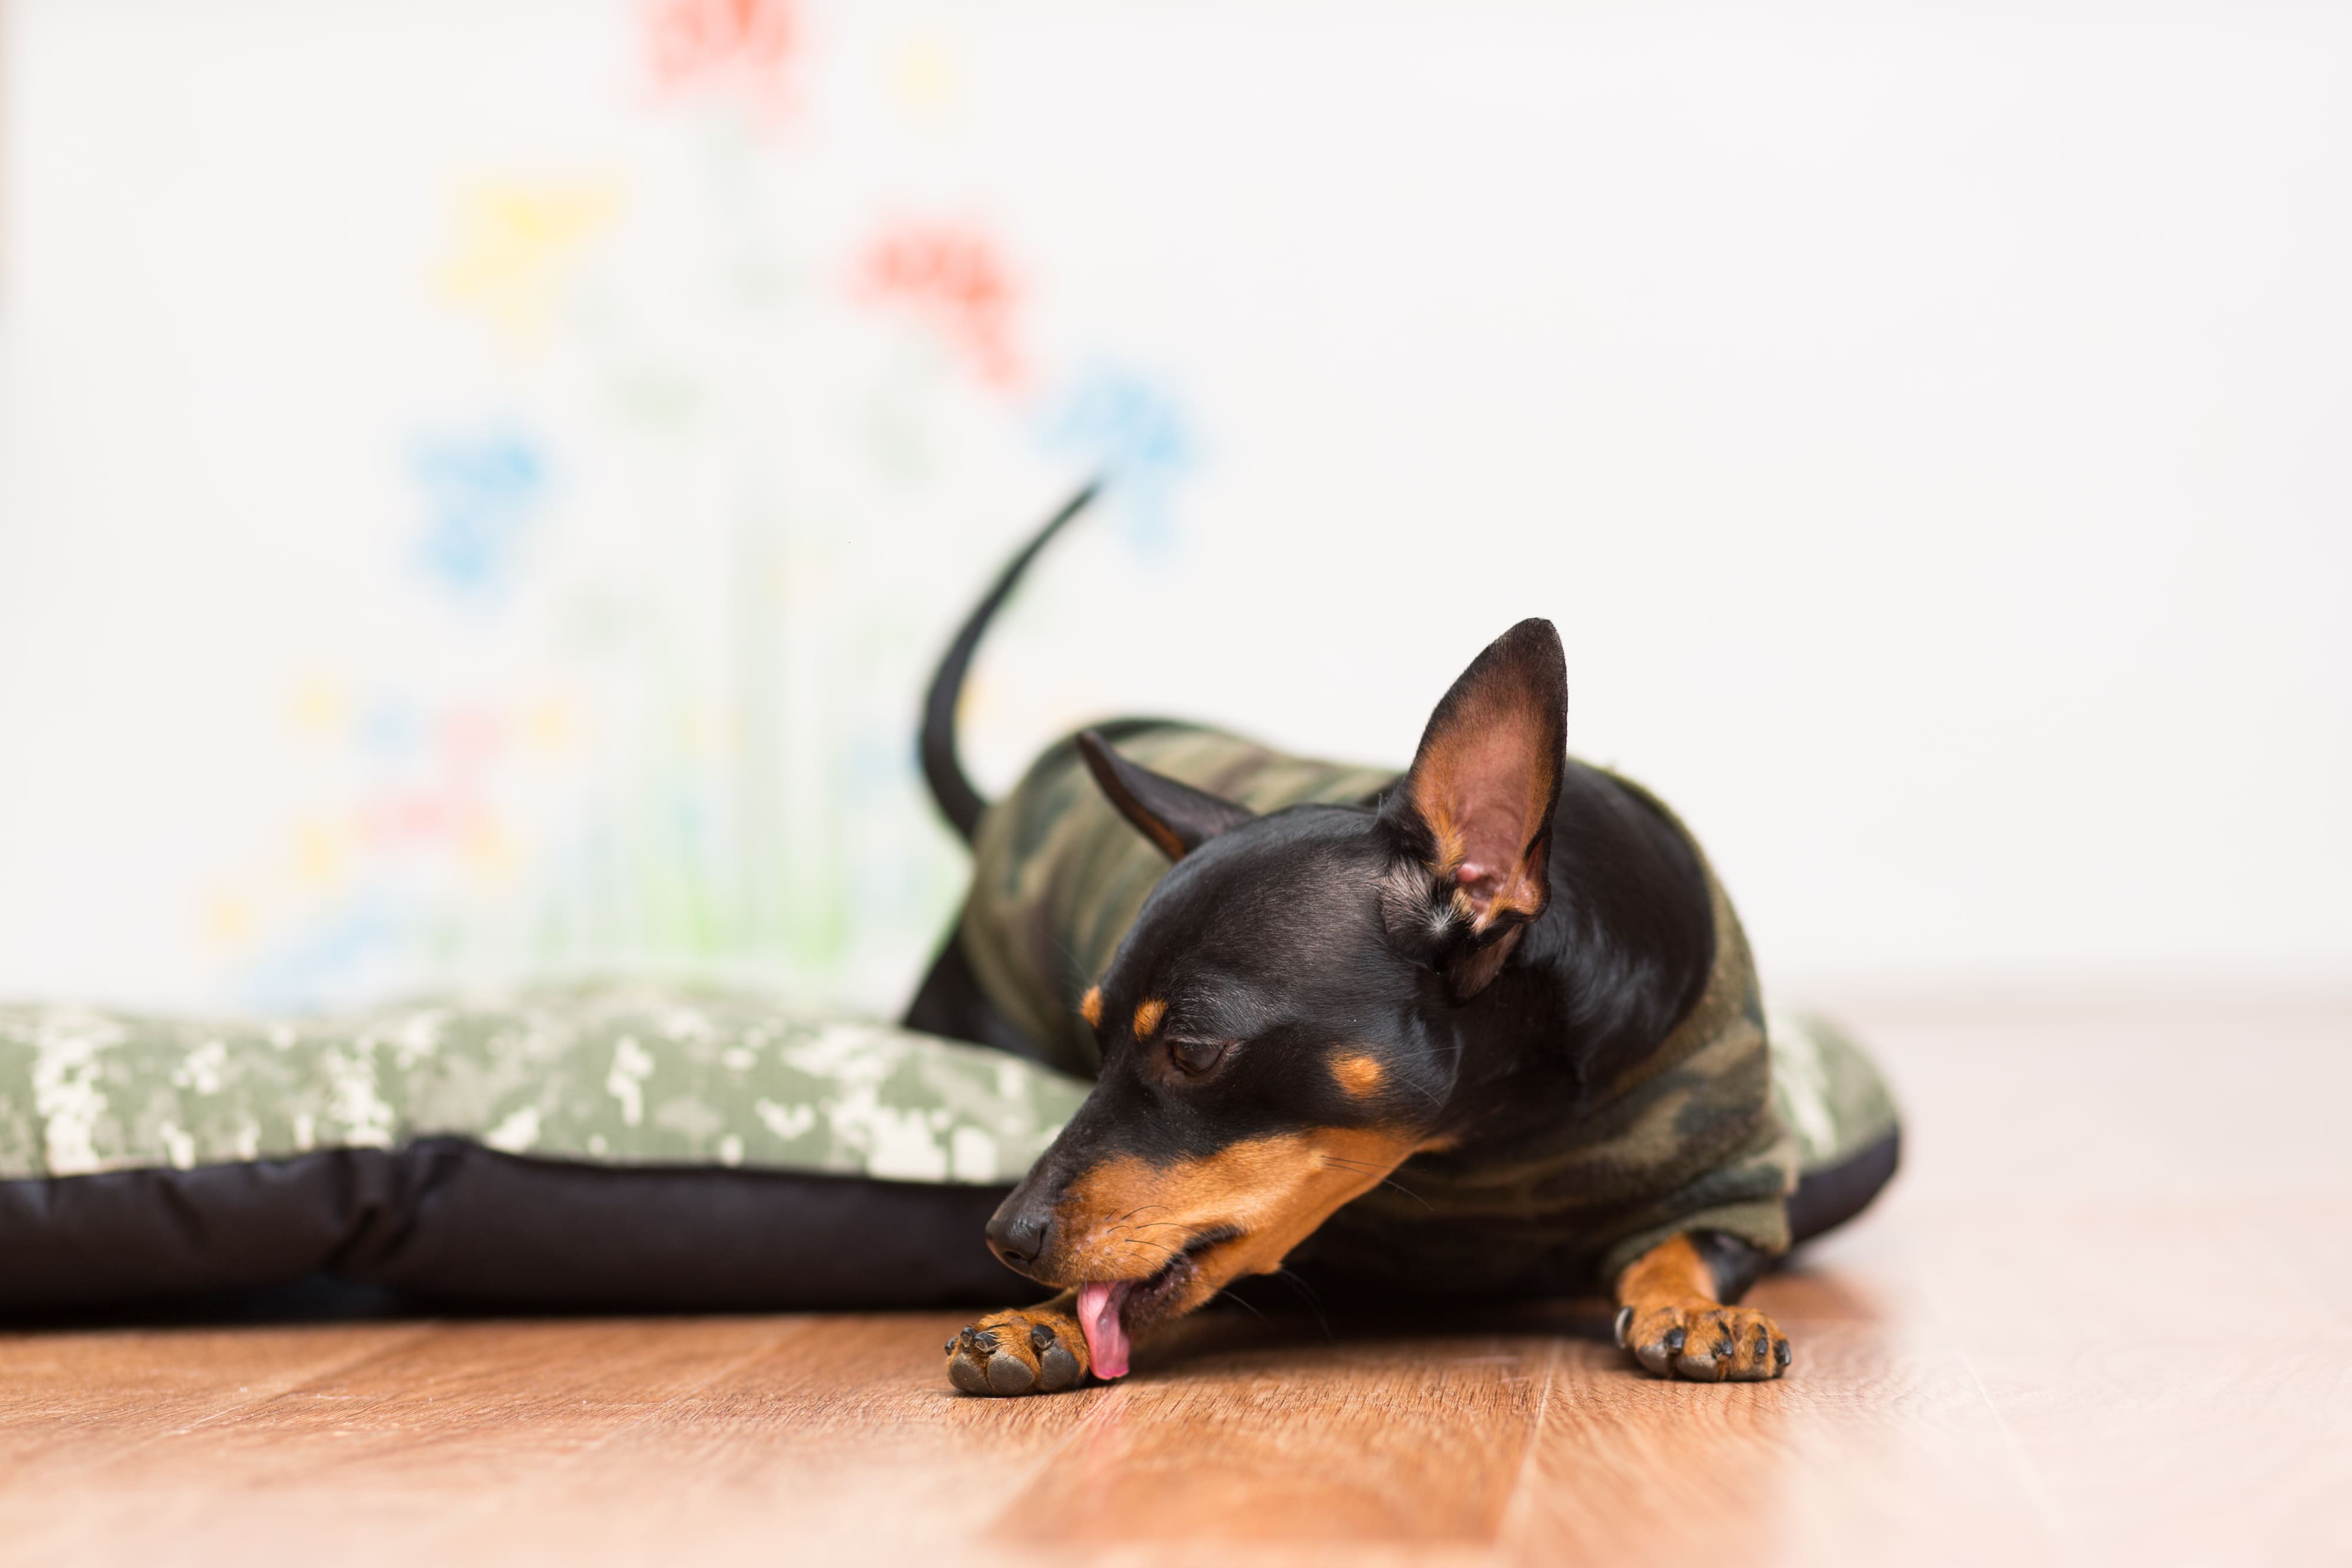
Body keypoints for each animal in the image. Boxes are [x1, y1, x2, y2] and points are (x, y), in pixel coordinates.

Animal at [908, 484, 1900, 1392]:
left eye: (1192, 1049)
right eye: (1095, 1042)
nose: (1006, 1237)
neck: (1494, 1131)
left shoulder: (1733, 1175)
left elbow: (1685, 1243)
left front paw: (1693, 1307)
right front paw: (1045, 1321)